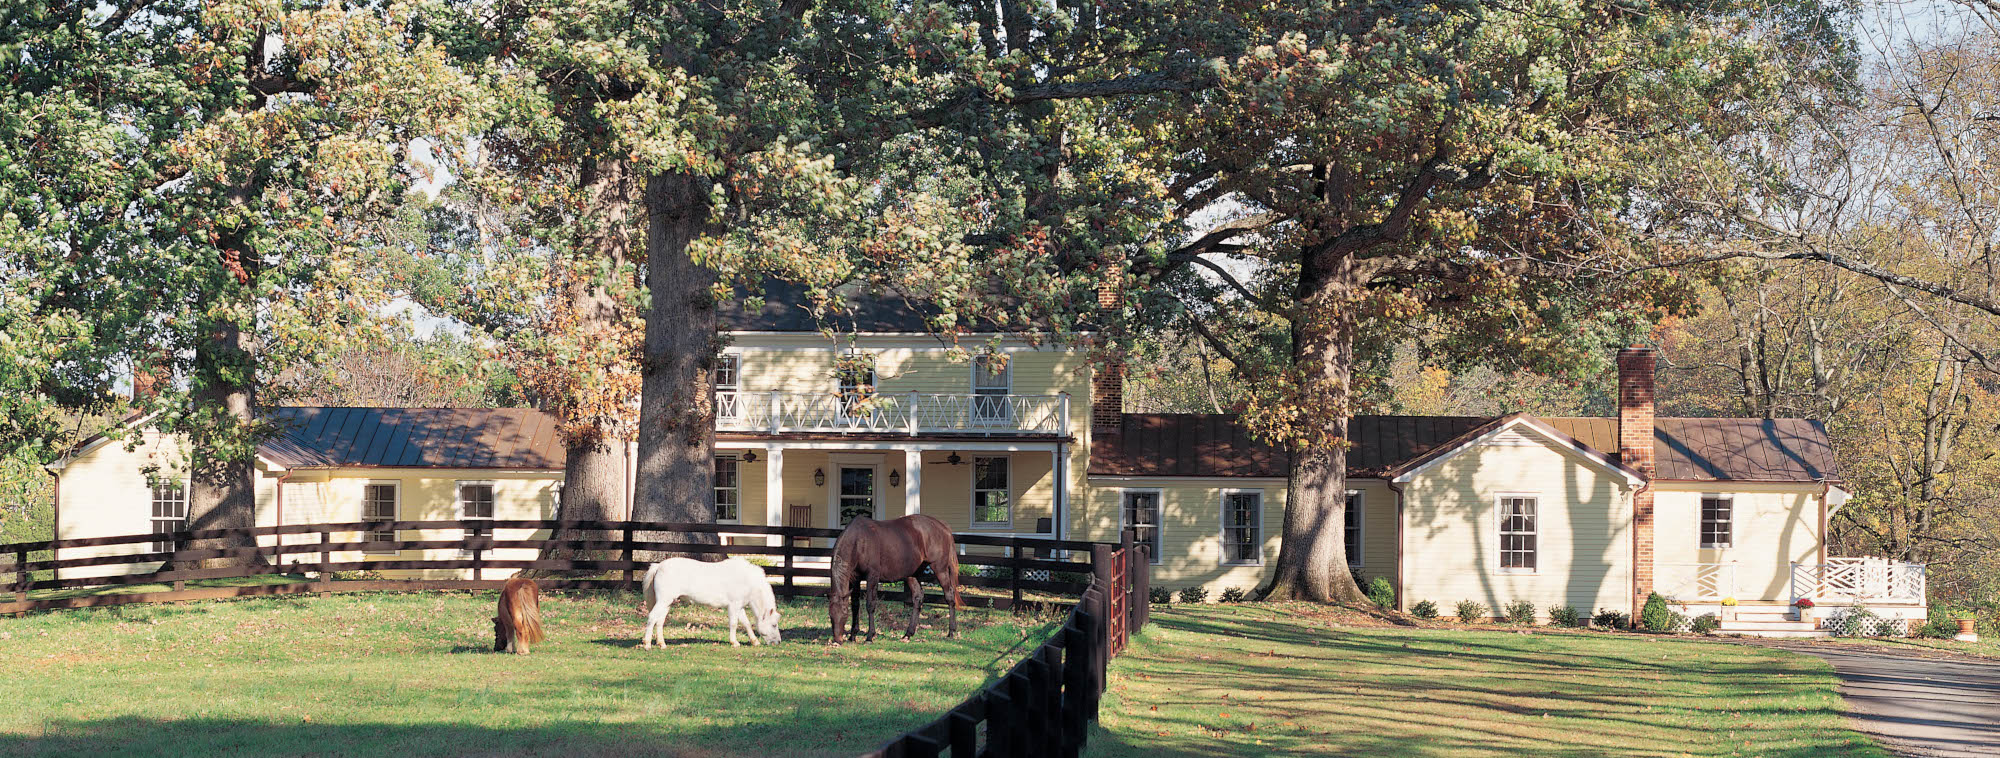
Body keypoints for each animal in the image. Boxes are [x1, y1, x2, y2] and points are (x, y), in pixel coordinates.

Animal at [640, 556, 780, 652]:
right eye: (774, 625)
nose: (778, 642)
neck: (747, 580)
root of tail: (658, 566)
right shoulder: (733, 606)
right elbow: (734, 624)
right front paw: (734, 642)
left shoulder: (739, 607)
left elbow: (746, 623)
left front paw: (754, 641)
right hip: (663, 601)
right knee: (652, 618)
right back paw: (647, 644)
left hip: (667, 603)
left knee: (660, 621)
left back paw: (662, 644)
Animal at [832, 512, 964, 644]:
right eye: (831, 615)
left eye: (844, 614)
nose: (837, 641)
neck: (859, 541)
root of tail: (943, 527)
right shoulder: (855, 579)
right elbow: (855, 605)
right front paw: (852, 636)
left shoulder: (872, 577)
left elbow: (870, 604)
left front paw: (869, 636)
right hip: (912, 574)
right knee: (918, 598)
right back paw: (908, 634)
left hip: (940, 569)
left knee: (949, 595)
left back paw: (951, 632)